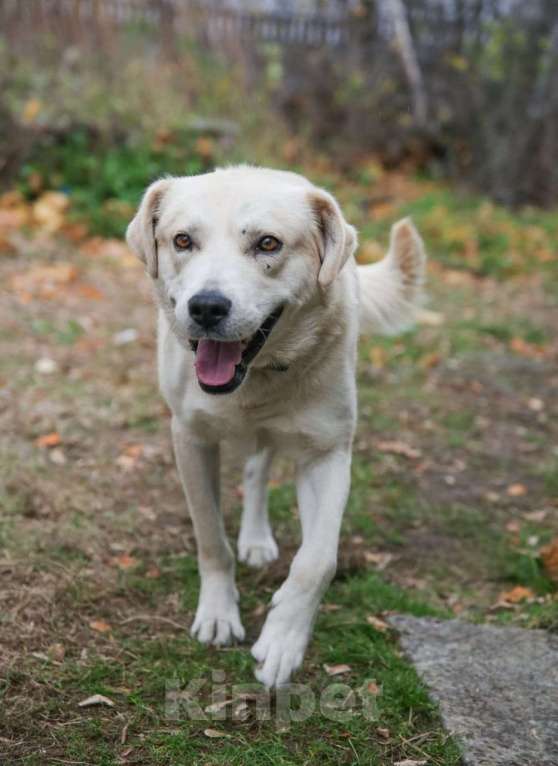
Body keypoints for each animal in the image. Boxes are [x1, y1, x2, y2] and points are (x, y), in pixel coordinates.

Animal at [126, 166, 424, 688]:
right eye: (182, 240)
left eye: (268, 243)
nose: (206, 307)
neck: (257, 376)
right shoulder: (190, 439)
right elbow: (210, 536)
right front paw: (219, 613)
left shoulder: (328, 455)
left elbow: (317, 561)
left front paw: (284, 640)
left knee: (258, 471)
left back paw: (257, 539)